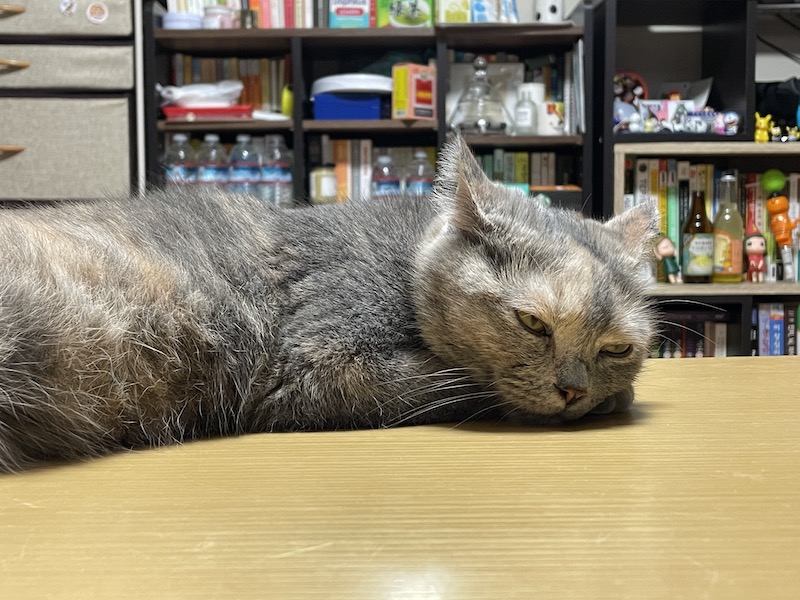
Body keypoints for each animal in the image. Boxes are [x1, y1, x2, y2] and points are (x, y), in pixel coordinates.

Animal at [0, 135, 657, 471]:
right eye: (532, 322)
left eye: (617, 348)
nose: (573, 390)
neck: (404, 260)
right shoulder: (314, 365)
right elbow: (460, 385)